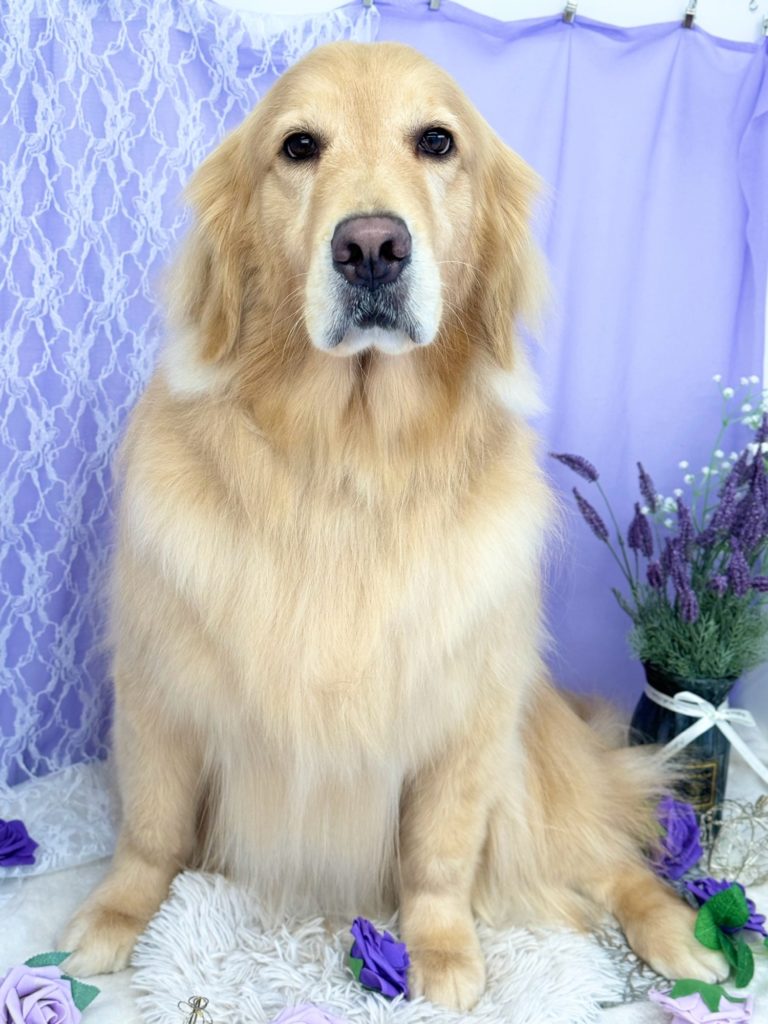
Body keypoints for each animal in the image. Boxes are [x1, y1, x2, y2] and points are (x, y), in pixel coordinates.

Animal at [62, 42, 727, 1010]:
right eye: (299, 145)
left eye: (437, 141)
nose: (371, 246)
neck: (351, 457)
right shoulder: (160, 686)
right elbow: (150, 830)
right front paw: (115, 915)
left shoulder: (463, 719)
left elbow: (438, 858)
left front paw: (442, 953)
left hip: (532, 774)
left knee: (609, 857)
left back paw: (684, 936)